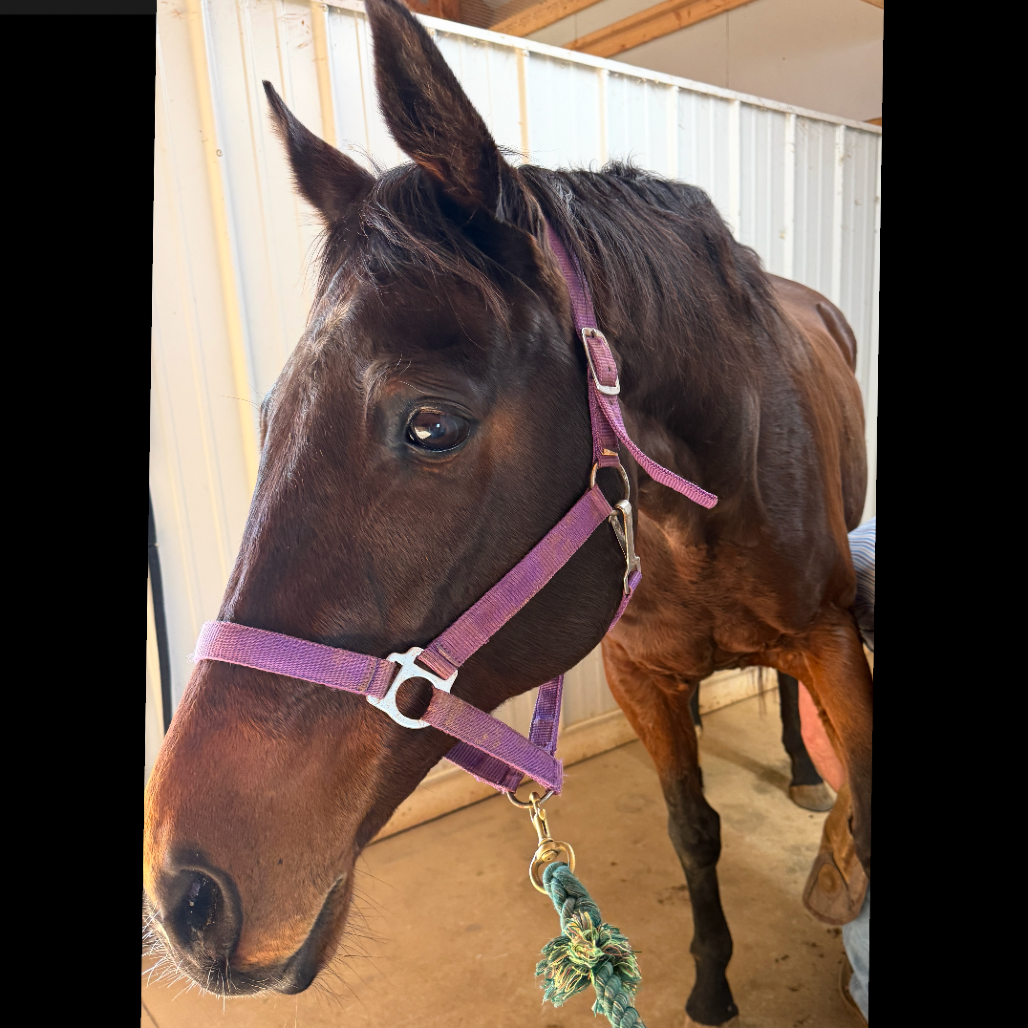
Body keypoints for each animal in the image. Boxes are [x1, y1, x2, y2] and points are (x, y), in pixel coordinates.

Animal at [143, 1, 872, 1023]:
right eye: (270, 414)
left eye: (432, 424)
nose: (185, 894)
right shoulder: (639, 675)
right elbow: (692, 830)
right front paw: (711, 980)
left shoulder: (834, 640)